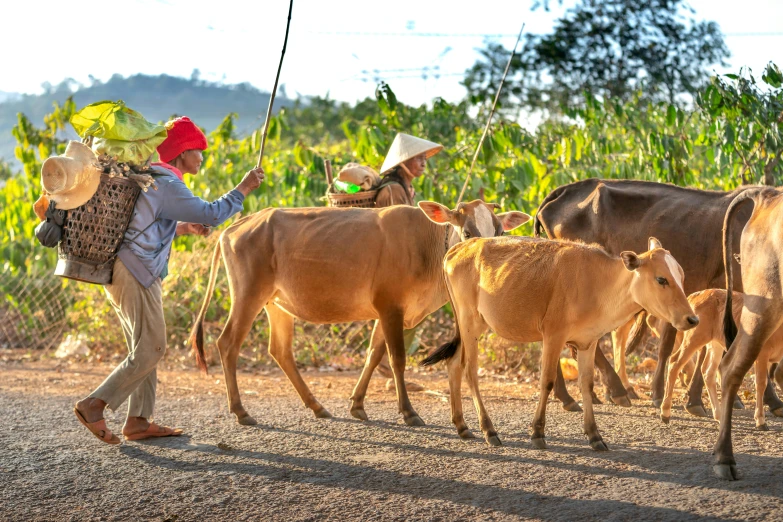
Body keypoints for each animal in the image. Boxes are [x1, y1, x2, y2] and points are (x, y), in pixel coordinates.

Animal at [190, 201, 528, 424]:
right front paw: (408, 412)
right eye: (468, 232)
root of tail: (235, 227)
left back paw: (317, 406)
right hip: (248, 295)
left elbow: (372, 355)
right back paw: (241, 410)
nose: (486, 258)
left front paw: (357, 404)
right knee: (227, 344)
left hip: (276, 303)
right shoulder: (390, 306)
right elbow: (397, 359)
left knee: (280, 350)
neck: (428, 246)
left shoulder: (386, 312)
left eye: (499, 229)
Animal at [422, 236, 700, 446]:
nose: (692, 318)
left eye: (682, 277)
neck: (600, 284)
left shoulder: (588, 342)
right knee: (470, 371)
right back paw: (489, 430)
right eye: (661, 279)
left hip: (472, 324)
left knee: (454, 365)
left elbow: (587, 384)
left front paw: (594, 435)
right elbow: (546, 381)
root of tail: (458, 248)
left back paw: (462, 425)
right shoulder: (553, 336)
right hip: (469, 321)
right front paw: (537, 432)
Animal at [660, 288, 783, 426]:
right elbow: (761, 383)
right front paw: (761, 421)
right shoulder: (762, 354)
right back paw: (665, 413)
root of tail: (695, 296)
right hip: (694, 338)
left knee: (708, 372)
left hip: (716, 344)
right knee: (674, 363)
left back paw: (718, 415)